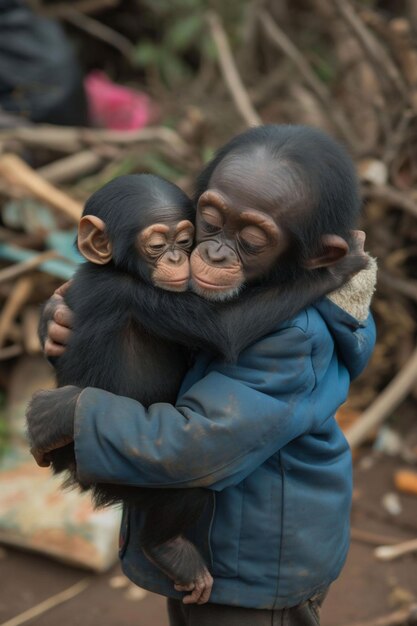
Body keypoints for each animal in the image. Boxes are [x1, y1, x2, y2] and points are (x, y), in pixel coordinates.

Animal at [26, 125, 368, 600]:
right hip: (122, 476)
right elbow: (224, 329)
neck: (119, 270)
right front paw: (339, 269)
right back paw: (168, 549)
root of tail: (70, 468)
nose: (198, 255)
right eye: (158, 244)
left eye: (186, 239)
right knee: (188, 479)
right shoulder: (135, 296)